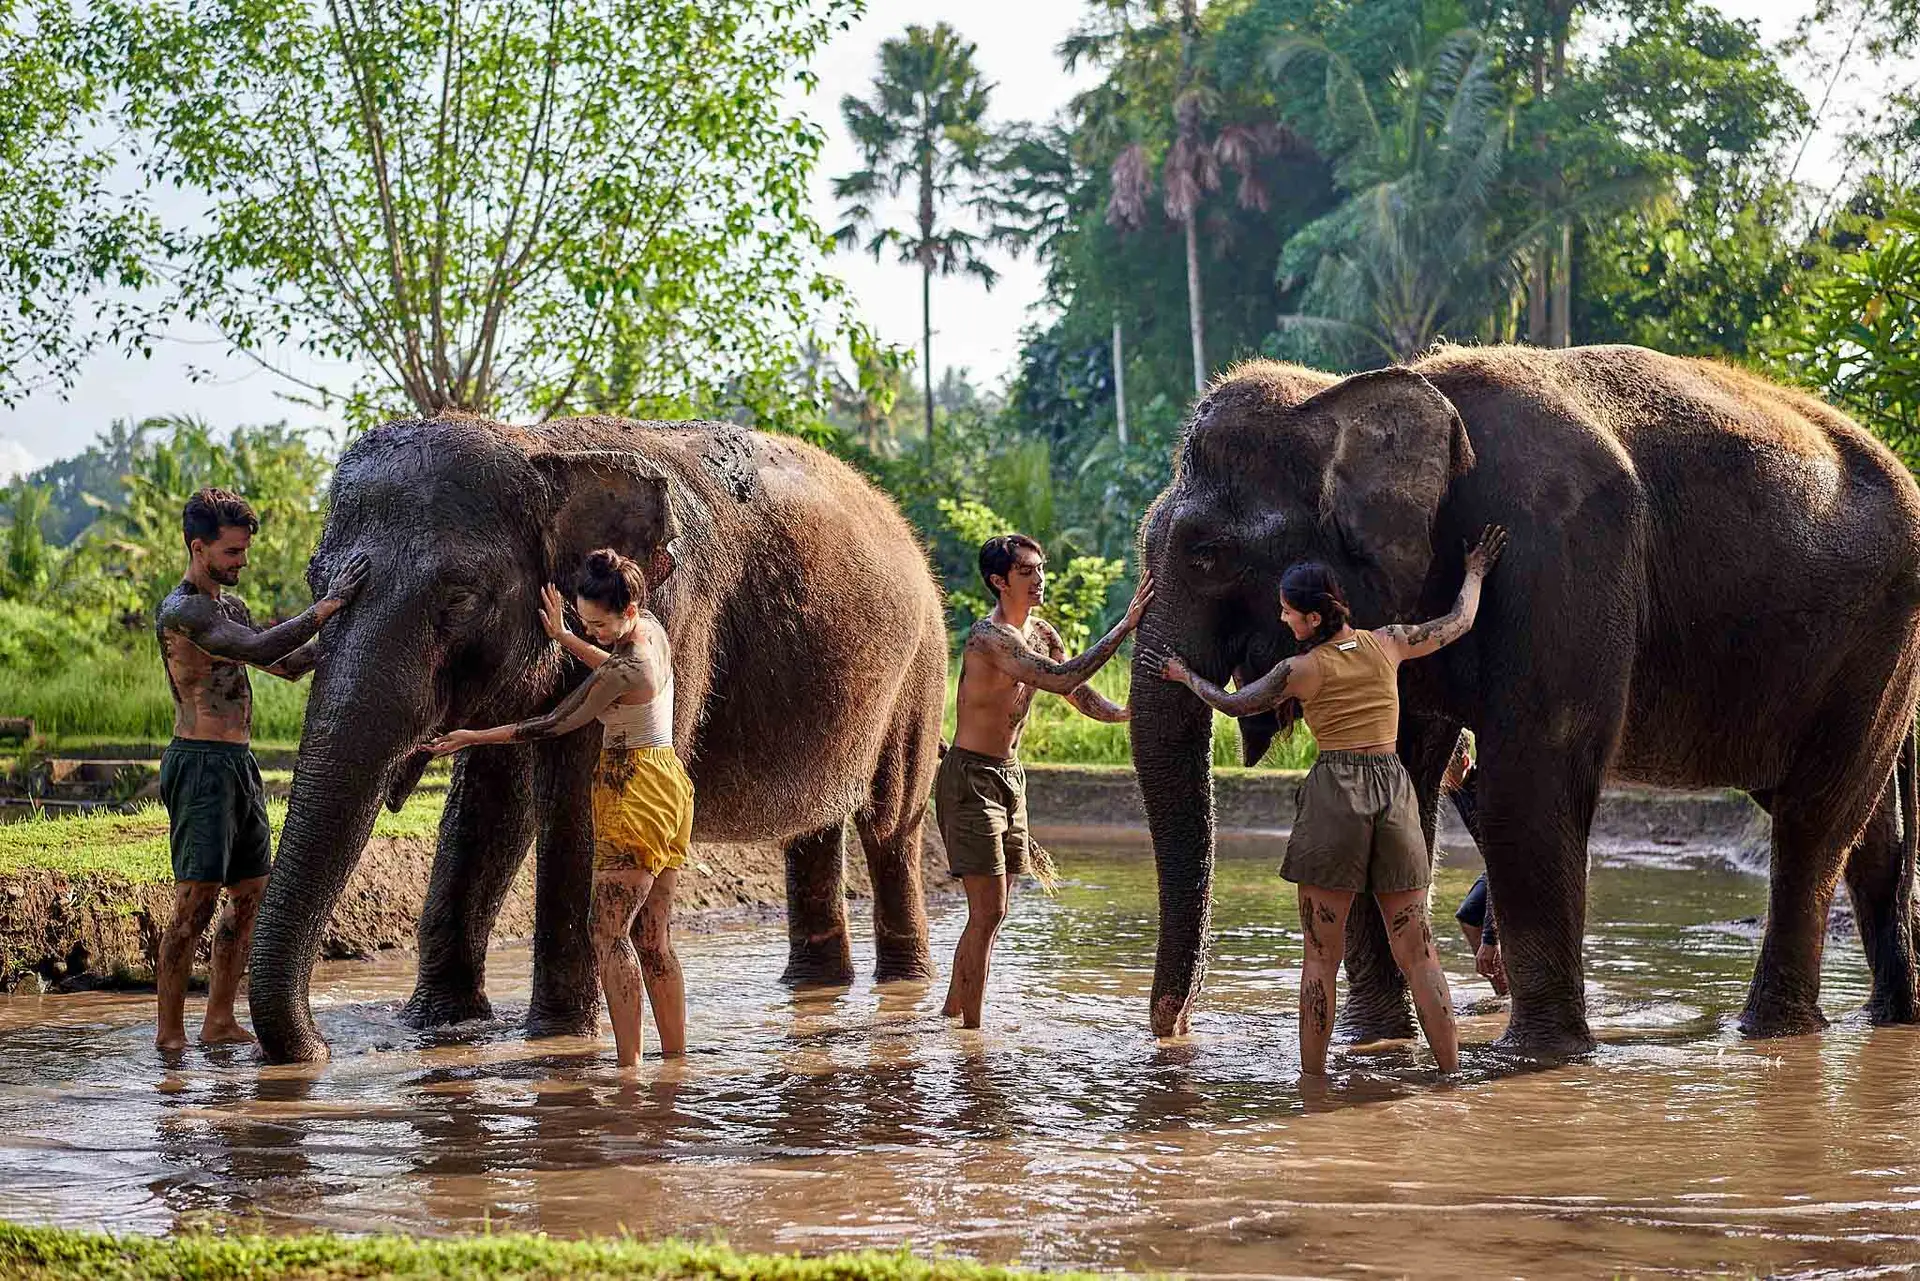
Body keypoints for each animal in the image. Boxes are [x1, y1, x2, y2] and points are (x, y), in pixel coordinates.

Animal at [247, 416, 952, 1067]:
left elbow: (581, 790)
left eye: (458, 597)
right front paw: (441, 1027)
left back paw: (902, 986)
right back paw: (815, 986)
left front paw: (557, 1035)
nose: (322, 1049)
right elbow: (489, 805)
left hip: (923, 668)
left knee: (890, 825)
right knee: (816, 828)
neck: (543, 448)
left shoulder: (678, 616)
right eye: (314, 583)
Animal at [1128, 345, 1920, 1060]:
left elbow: (1529, 781)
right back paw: (1887, 1017)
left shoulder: (1559, 554)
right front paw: (1376, 1044)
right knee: (1863, 830)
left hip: (1878, 637)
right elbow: (1407, 779)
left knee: (1814, 821)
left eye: (1206, 554)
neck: (1356, 391)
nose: (1175, 1029)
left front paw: (1537, 1058)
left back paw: (1773, 1032)